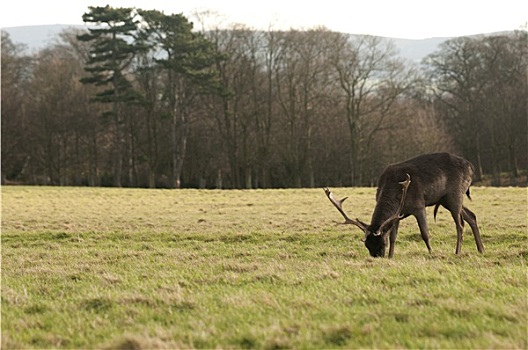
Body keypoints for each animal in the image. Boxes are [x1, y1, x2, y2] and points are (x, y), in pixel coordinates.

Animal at [326, 152, 486, 258]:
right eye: (367, 245)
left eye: (381, 243)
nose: (377, 257)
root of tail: (471, 167)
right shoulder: (397, 215)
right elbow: (393, 236)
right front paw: (391, 256)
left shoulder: (419, 205)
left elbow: (425, 233)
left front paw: (431, 252)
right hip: (445, 199)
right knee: (471, 216)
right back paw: (481, 249)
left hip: (455, 194)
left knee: (460, 224)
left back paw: (457, 252)